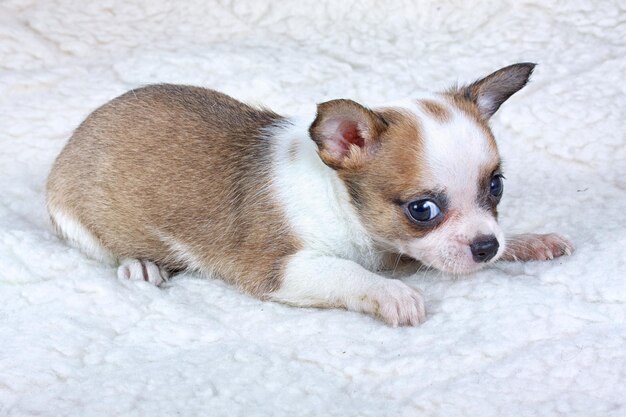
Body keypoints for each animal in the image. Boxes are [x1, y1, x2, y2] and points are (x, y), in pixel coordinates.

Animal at [47, 64, 572, 324]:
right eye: (422, 210)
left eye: (496, 186)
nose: (485, 247)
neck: (343, 205)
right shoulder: (282, 270)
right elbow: (347, 273)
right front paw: (392, 294)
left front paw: (526, 241)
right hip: (76, 221)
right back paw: (140, 264)